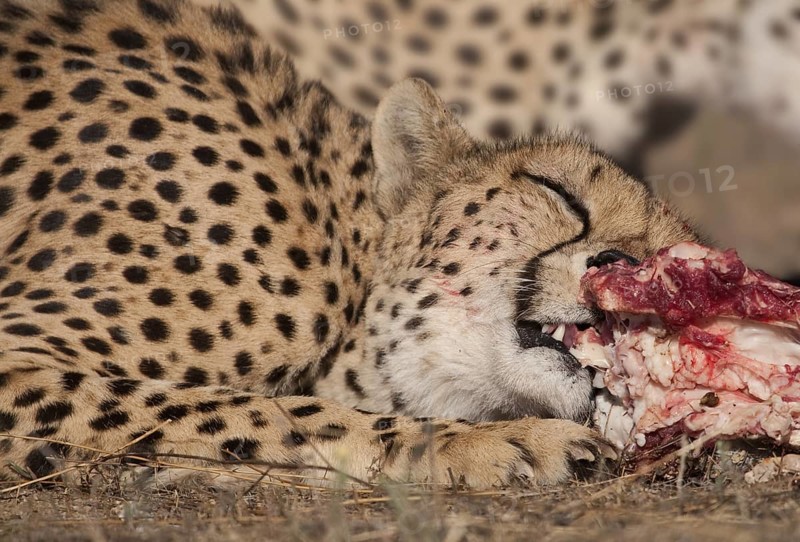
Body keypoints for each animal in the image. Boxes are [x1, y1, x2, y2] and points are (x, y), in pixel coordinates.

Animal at [0, 0, 695, 488]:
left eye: (667, 259)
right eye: (559, 192)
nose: (620, 264)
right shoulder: (17, 357)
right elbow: (260, 410)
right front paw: (491, 442)